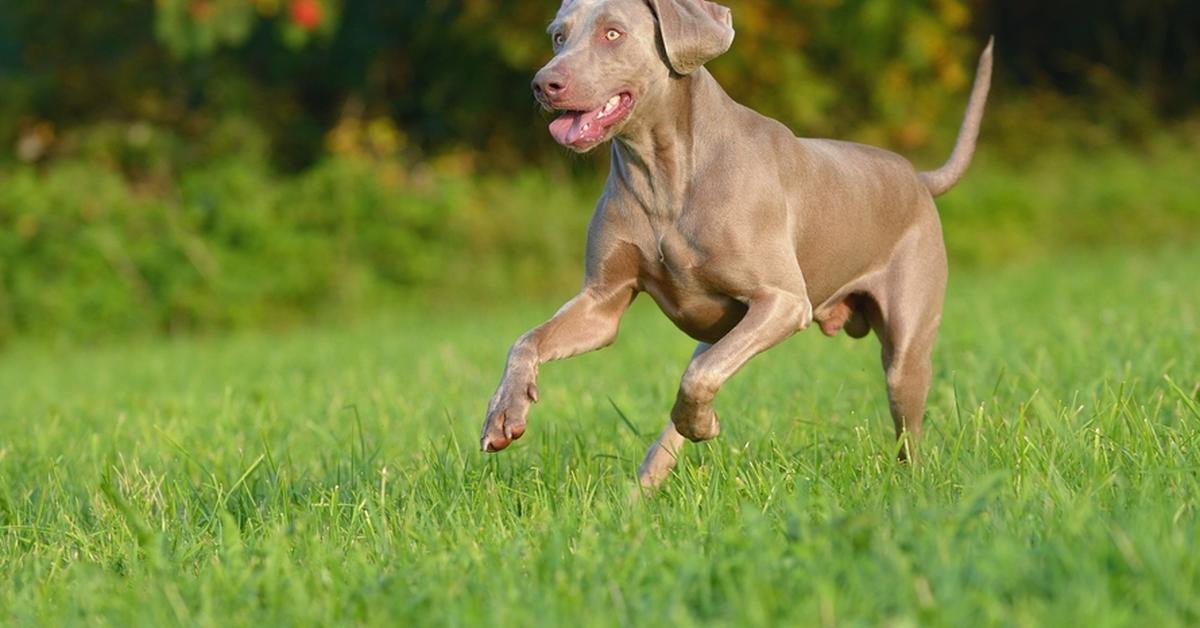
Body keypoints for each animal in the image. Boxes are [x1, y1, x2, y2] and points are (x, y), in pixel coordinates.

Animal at [477, 0, 993, 494]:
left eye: (613, 33)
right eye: (557, 36)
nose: (544, 83)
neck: (663, 170)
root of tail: (919, 178)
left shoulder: (783, 302)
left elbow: (697, 381)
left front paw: (704, 426)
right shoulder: (601, 305)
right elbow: (526, 340)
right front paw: (504, 413)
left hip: (906, 348)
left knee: (908, 430)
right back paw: (637, 496)